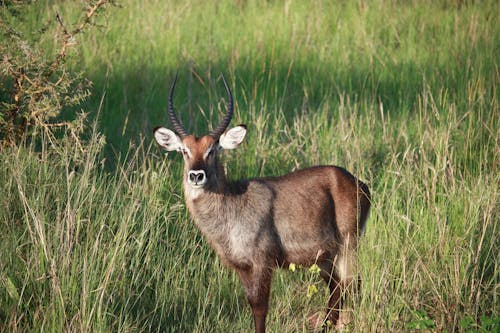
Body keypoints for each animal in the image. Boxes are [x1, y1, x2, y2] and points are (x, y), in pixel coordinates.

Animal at [154, 74, 370, 330]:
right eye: (184, 150)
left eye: (212, 150)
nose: (196, 175)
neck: (232, 204)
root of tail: (358, 182)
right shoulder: (242, 267)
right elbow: (252, 304)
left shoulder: (262, 262)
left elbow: (260, 309)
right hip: (325, 256)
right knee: (338, 288)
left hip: (348, 245)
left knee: (351, 285)